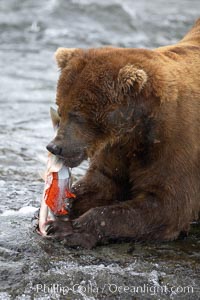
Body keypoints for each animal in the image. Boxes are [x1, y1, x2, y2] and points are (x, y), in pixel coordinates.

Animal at [45, 19, 200, 248]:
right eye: (60, 109)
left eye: (78, 115)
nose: (55, 146)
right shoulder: (118, 147)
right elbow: (102, 182)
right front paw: (62, 212)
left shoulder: (178, 143)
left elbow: (167, 205)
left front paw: (71, 230)